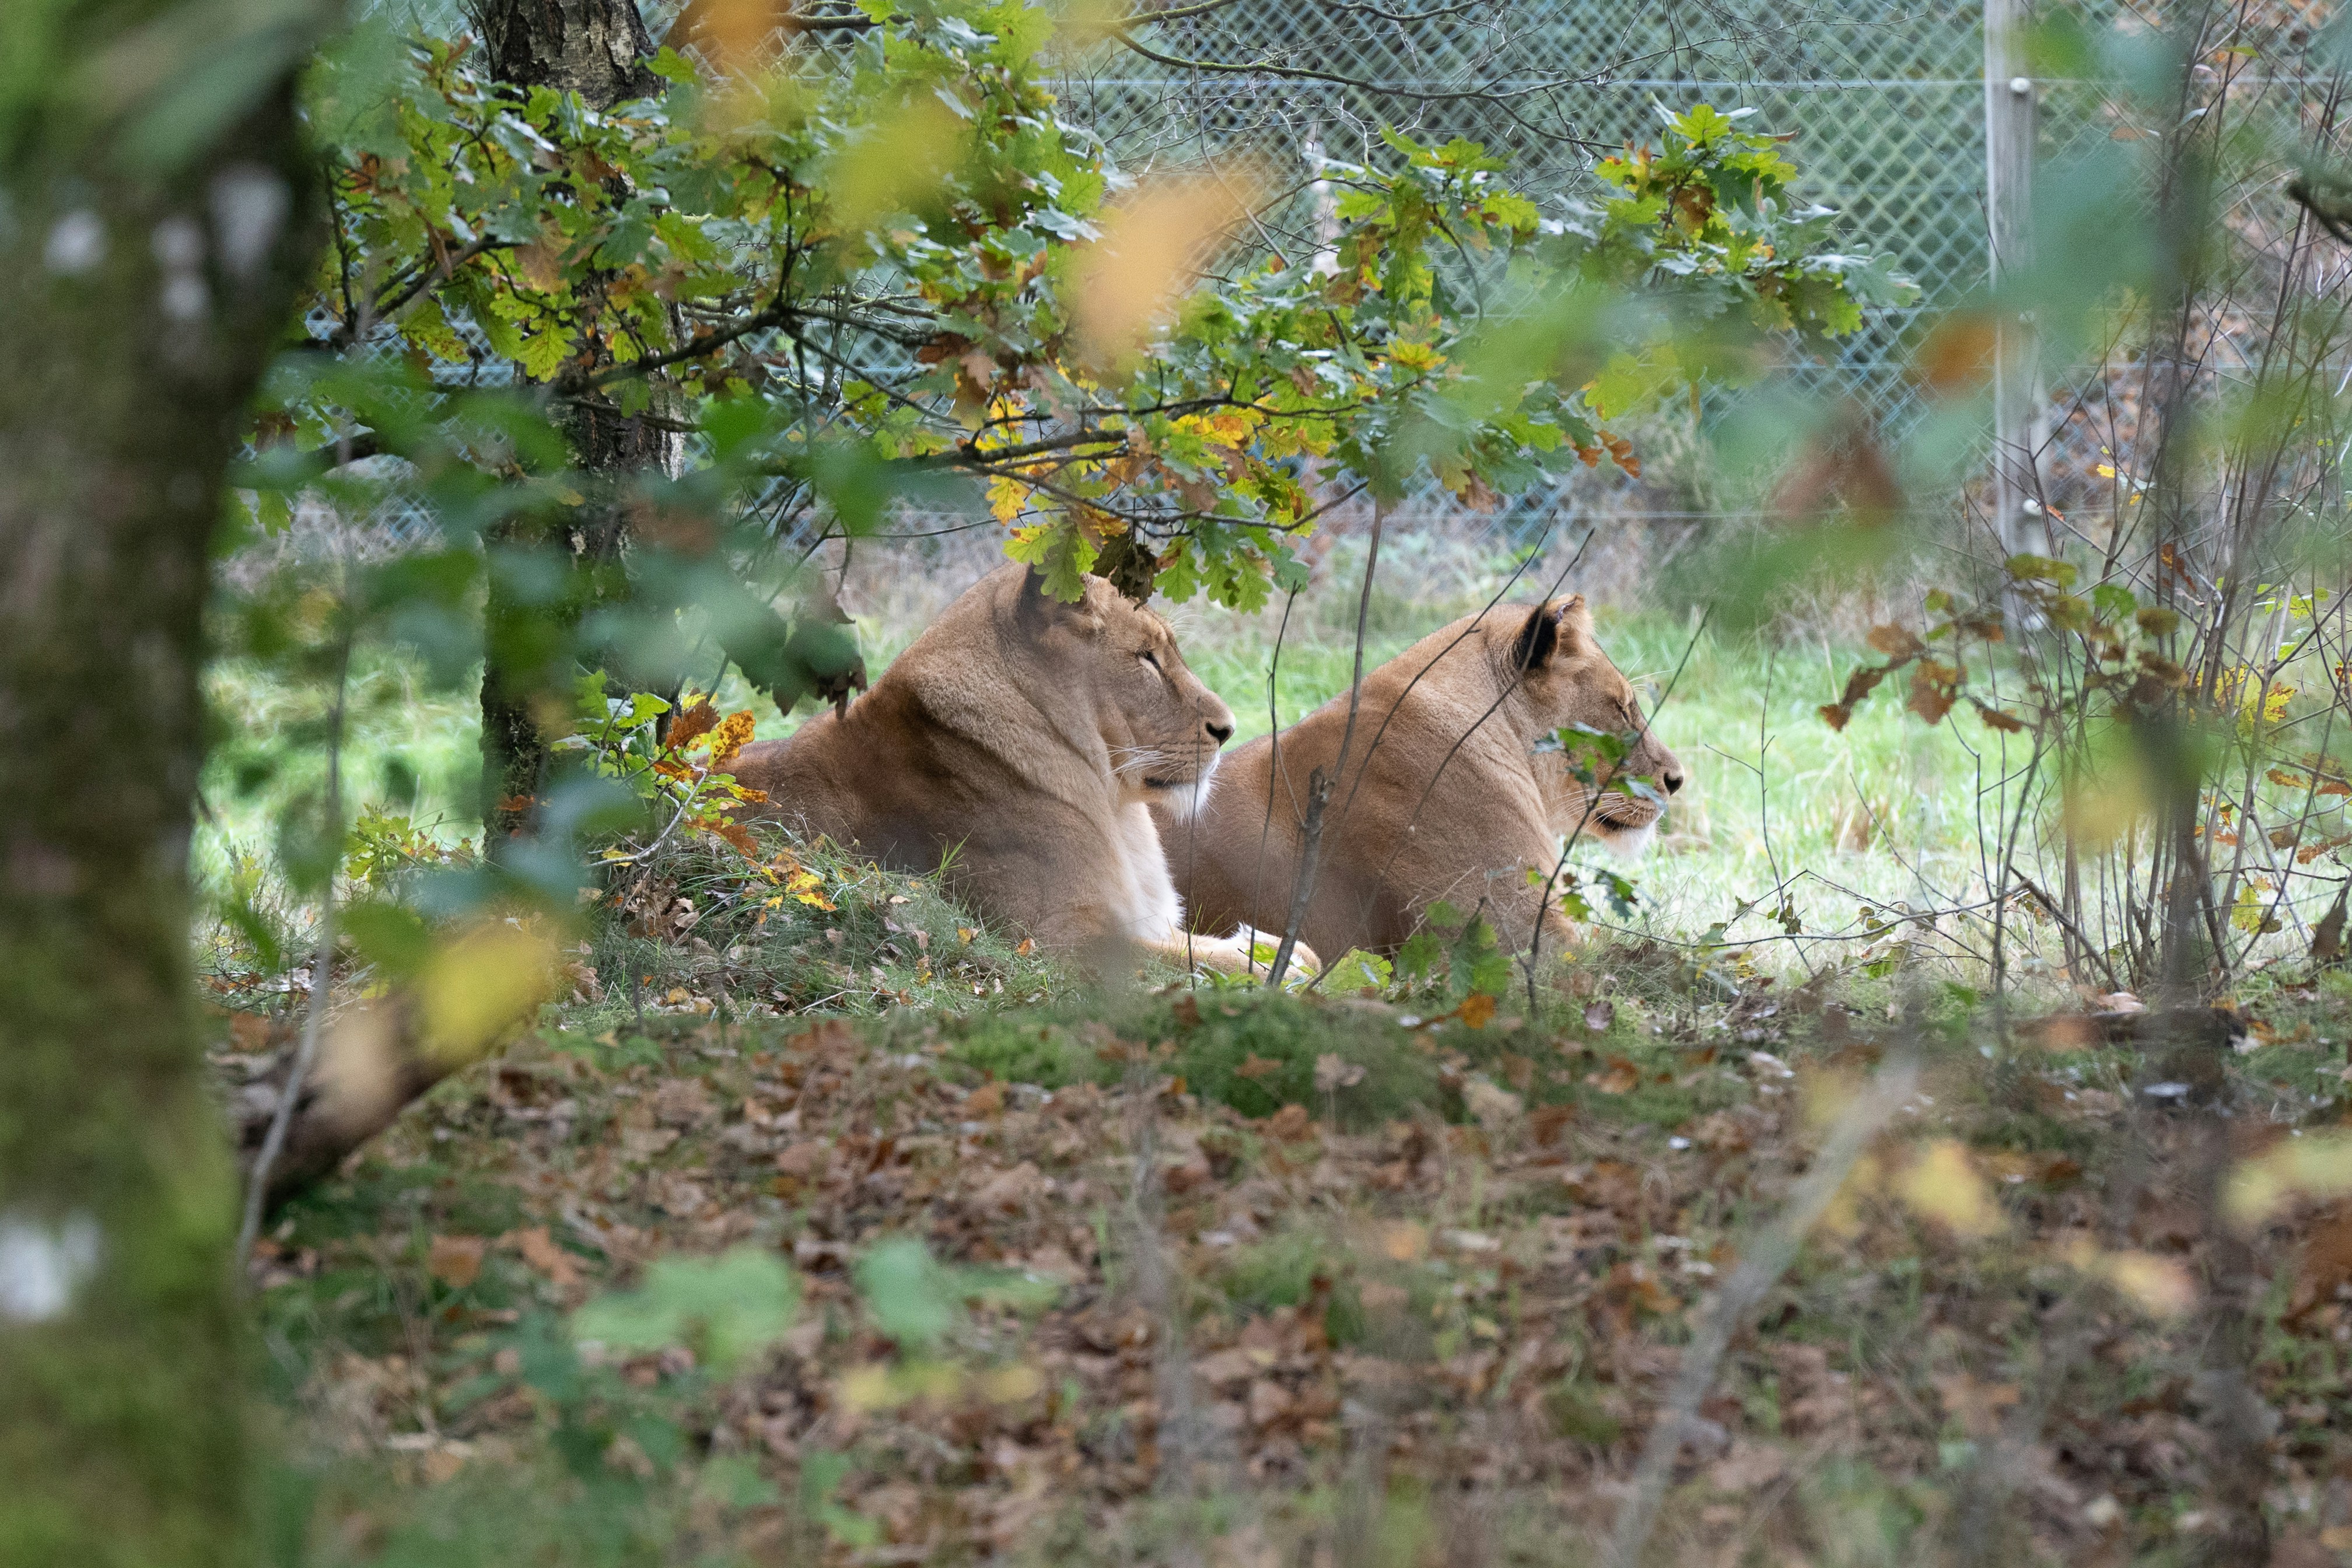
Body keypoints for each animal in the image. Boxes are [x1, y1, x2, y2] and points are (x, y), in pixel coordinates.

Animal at [730, 563, 1306, 975]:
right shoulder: (1057, 939)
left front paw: (1269, 944)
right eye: (1146, 657)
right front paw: (1267, 961)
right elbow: (1211, 965)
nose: (1228, 729)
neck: (1114, 806)